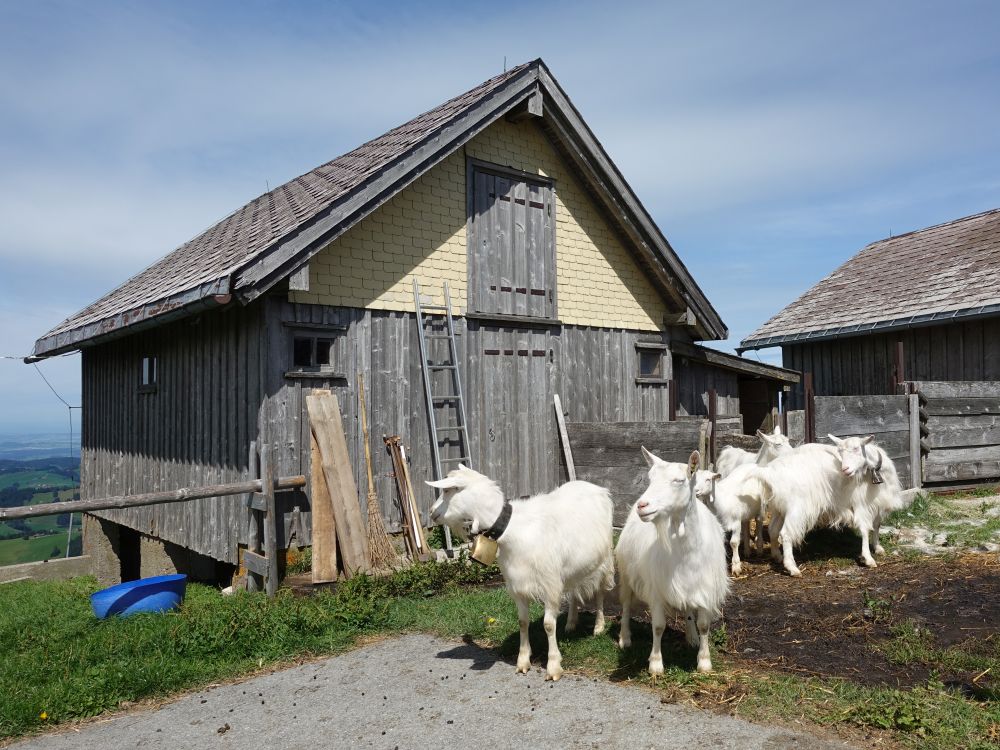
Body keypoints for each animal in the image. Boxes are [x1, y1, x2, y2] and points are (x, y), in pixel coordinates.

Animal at [426, 464, 612, 680]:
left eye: (448, 490)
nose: (431, 512)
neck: (513, 531)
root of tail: (595, 487)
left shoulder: (549, 585)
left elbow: (548, 625)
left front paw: (553, 666)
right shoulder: (518, 586)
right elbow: (522, 622)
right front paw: (523, 661)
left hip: (604, 561)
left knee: (600, 593)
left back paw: (598, 626)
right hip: (572, 568)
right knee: (574, 592)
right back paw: (571, 624)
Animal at [616, 446, 728, 676]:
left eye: (678, 480)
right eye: (650, 479)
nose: (642, 505)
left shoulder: (705, 587)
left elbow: (704, 625)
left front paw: (704, 661)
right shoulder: (656, 588)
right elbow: (658, 626)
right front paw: (656, 664)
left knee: (688, 612)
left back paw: (692, 637)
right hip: (626, 573)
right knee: (626, 604)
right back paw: (625, 638)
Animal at [744, 434, 908, 576]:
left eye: (856, 448)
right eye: (840, 451)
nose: (845, 470)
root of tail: (770, 473)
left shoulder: (878, 504)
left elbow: (876, 526)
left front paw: (878, 548)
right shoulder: (861, 504)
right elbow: (865, 530)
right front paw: (868, 558)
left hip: (779, 508)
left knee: (773, 530)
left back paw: (777, 556)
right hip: (796, 509)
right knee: (785, 534)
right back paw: (792, 568)